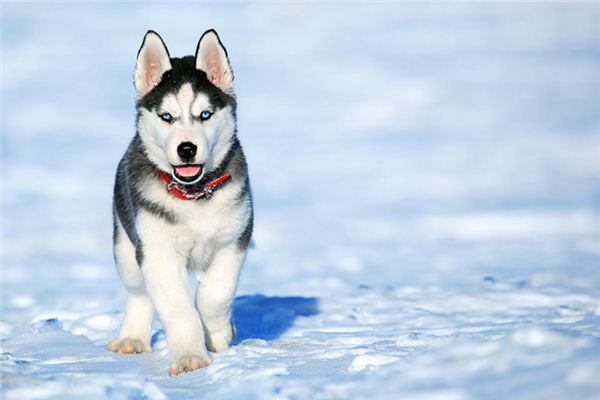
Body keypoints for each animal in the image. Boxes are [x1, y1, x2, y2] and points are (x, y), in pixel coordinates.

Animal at [109, 29, 252, 376]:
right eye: (166, 117)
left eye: (205, 115)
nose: (187, 148)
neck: (193, 195)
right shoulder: (157, 252)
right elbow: (178, 307)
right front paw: (190, 356)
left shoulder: (234, 240)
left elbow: (215, 294)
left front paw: (219, 333)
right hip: (125, 246)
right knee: (139, 293)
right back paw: (132, 338)